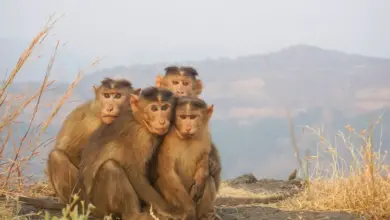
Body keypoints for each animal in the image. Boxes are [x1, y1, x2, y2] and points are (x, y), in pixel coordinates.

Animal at [78, 87, 187, 219]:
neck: (138, 120)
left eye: (165, 107)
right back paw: (133, 215)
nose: (162, 121)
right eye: (154, 109)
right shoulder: (139, 136)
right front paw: (169, 210)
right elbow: (134, 173)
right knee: (110, 167)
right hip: (98, 207)